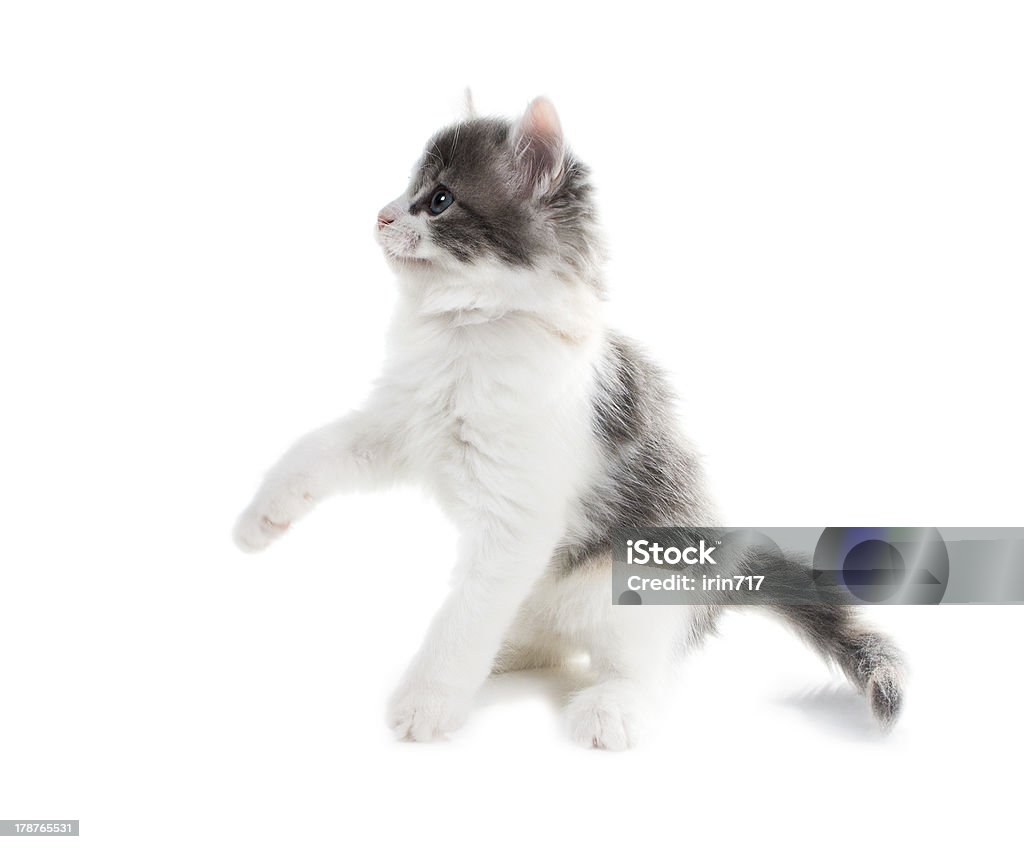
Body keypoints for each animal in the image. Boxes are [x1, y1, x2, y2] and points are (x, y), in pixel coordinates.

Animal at [234, 94, 905, 749]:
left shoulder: (516, 520)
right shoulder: (400, 426)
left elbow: (464, 617)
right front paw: (260, 519)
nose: (380, 216)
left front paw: (427, 700)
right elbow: (315, 449)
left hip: (634, 579)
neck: (466, 334)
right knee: (545, 640)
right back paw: (506, 657)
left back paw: (612, 706)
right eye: (407, 189)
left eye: (439, 199)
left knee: (643, 666)